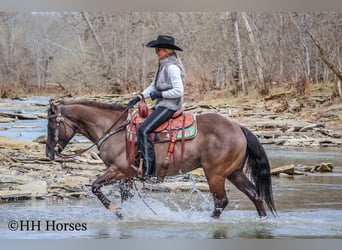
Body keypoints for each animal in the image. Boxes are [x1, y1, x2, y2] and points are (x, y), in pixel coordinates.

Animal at [45, 98, 276, 218]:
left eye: (51, 124)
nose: (49, 153)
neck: (113, 130)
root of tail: (237, 127)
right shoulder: (125, 176)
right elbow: (125, 195)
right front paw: (125, 212)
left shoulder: (119, 170)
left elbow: (95, 186)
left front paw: (116, 210)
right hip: (234, 172)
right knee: (255, 194)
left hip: (215, 174)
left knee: (221, 201)